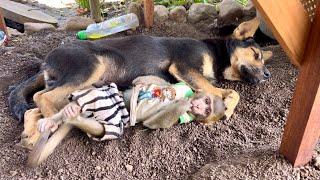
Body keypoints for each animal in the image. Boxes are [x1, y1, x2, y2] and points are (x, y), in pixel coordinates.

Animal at [8, 17, 272, 148]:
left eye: (262, 57)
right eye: (256, 55)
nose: (268, 75)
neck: (216, 53)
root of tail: (46, 61)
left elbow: (222, 90)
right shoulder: (184, 67)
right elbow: (223, 91)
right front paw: (226, 107)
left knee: (33, 108)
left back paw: (32, 135)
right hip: (89, 68)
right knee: (40, 97)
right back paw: (53, 126)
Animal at [26, 75, 229, 167]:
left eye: (207, 110)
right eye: (207, 101)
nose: (198, 106)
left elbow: (153, 123)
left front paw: (183, 104)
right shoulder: (180, 85)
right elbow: (158, 81)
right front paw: (143, 82)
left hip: (111, 116)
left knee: (102, 126)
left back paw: (73, 115)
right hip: (102, 91)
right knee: (90, 93)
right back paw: (59, 116)